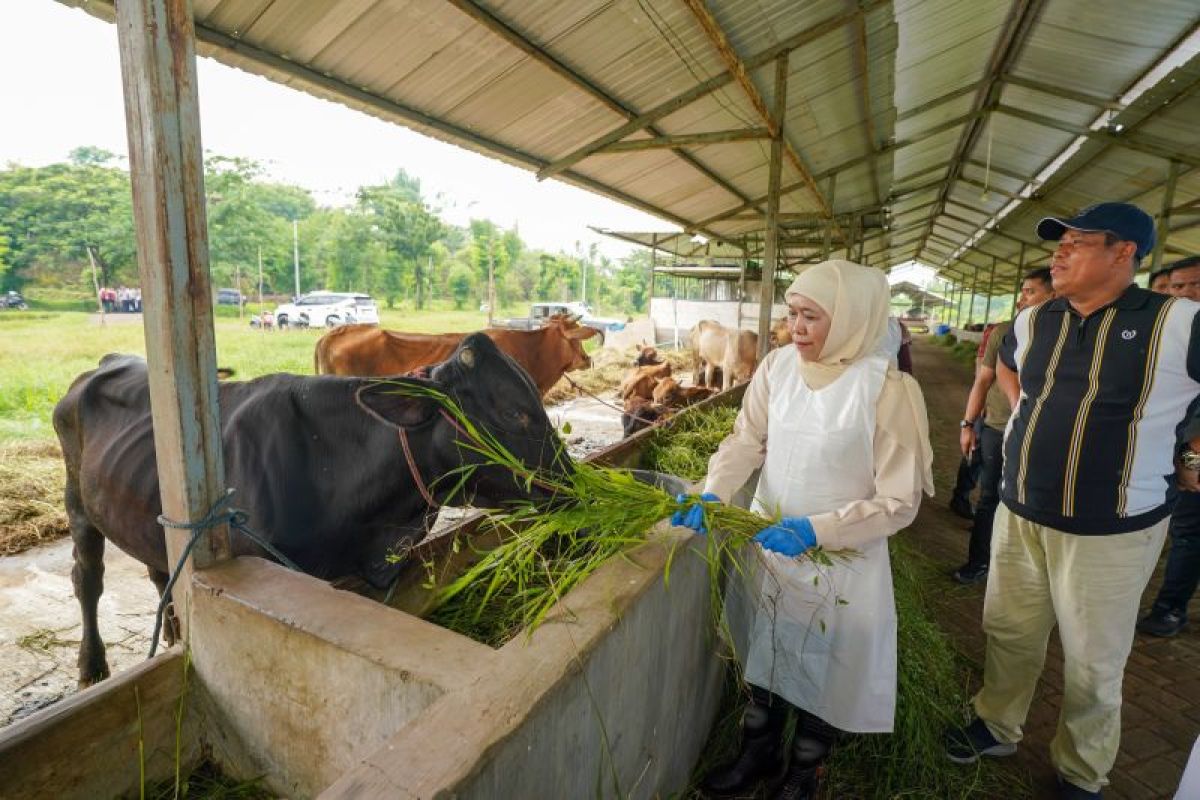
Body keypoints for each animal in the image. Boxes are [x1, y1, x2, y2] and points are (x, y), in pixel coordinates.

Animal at [51, 331, 566, 681]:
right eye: (514, 412)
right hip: (77, 505)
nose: (573, 488)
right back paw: (92, 666)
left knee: (158, 567)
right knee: (87, 579)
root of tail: (107, 360)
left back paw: (174, 632)